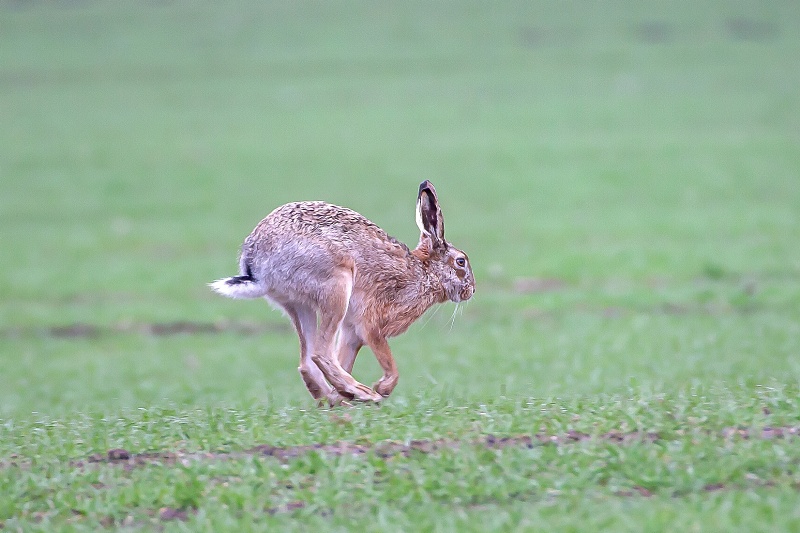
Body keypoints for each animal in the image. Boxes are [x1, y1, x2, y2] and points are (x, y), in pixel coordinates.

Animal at [210, 181, 475, 406]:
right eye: (461, 262)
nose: (471, 291)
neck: (425, 272)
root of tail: (256, 265)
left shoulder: (351, 333)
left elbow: (346, 357)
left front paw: (343, 395)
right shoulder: (370, 323)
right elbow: (388, 362)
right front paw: (382, 388)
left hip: (299, 305)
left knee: (308, 361)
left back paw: (336, 398)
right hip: (337, 286)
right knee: (321, 353)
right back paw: (365, 394)